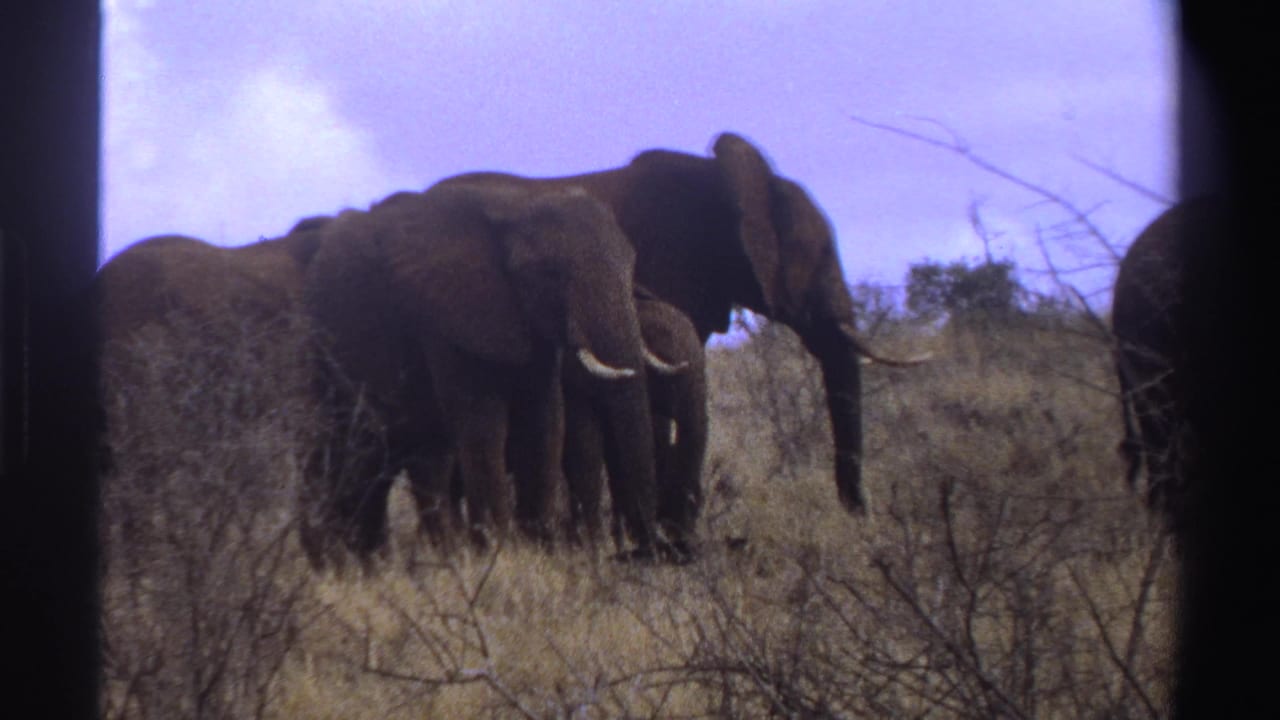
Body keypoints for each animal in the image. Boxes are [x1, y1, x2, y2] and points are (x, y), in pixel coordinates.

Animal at [299, 183, 664, 566]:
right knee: (354, 452)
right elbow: (483, 422)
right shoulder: (447, 316)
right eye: (551, 274)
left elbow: (545, 421)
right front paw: (500, 555)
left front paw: (540, 551)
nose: (646, 550)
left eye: (631, 267)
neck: (513, 206)